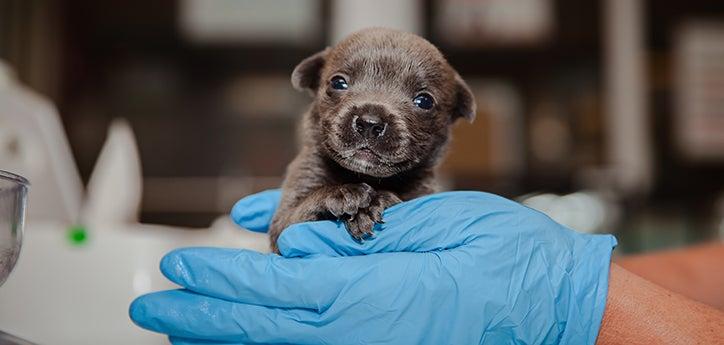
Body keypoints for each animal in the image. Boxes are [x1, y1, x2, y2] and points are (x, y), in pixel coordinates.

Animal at [266, 27, 476, 253]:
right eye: (338, 82)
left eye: (424, 101)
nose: (369, 122)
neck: (365, 176)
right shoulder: (286, 215)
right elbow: (296, 216)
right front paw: (343, 193)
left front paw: (375, 202)